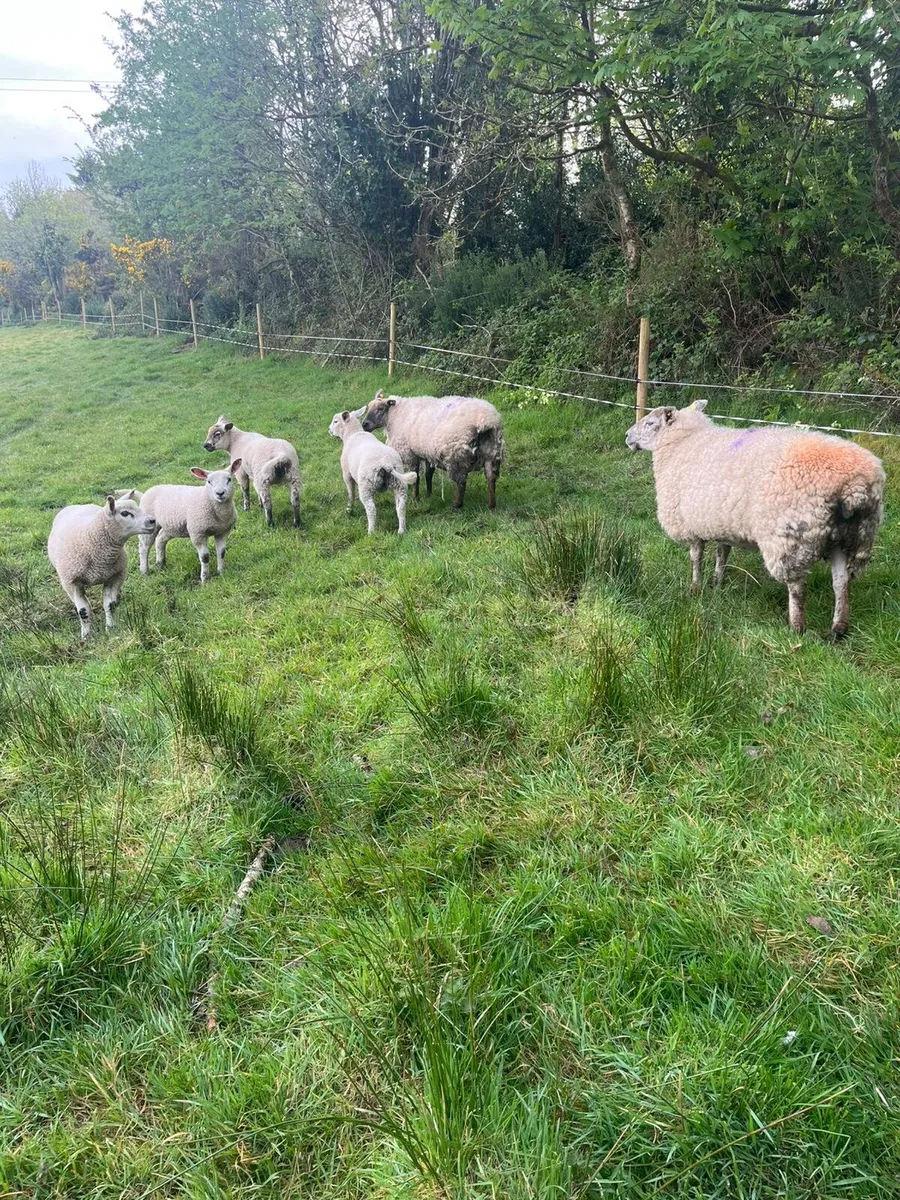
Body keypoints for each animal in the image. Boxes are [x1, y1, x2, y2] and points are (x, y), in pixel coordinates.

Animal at [47, 492, 158, 639]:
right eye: (124, 513)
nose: (152, 521)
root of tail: (78, 505)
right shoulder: (72, 582)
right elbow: (83, 610)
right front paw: (86, 635)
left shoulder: (114, 577)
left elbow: (109, 605)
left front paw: (110, 628)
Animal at [361, 389, 504, 510]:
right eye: (368, 408)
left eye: (380, 409)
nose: (364, 424)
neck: (394, 416)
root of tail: (486, 420)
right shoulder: (427, 453)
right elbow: (428, 475)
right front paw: (428, 495)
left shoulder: (411, 454)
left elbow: (416, 478)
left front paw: (416, 499)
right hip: (492, 453)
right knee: (491, 479)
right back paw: (491, 505)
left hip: (456, 455)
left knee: (461, 482)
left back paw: (456, 505)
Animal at [625, 399, 885, 638]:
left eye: (650, 423)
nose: (627, 436)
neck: (683, 442)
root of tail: (855, 486)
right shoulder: (722, 521)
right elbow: (722, 553)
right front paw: (716, 582)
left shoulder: (690, 524)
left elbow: (695, 558)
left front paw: (695, 589)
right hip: (850, 538)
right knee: (841, 583)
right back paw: (838, 629)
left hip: (789, 537)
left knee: (797, 587)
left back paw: (796, 628)